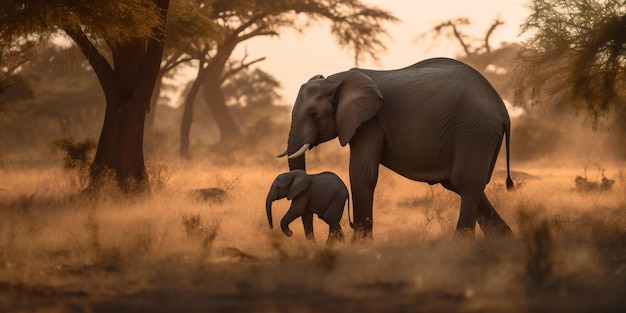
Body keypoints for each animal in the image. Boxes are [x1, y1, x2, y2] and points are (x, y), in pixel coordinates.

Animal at [278, 57, 512, 239]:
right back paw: (504, 240)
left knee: (466, 183)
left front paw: (360, 246)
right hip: (478, 134)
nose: (309, 239)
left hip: (474, 132)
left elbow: (362, 174)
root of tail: (503, 110)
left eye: (313, 114)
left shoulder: (370, 122)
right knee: (461, 183)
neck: (335, 80)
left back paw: (461, 243)